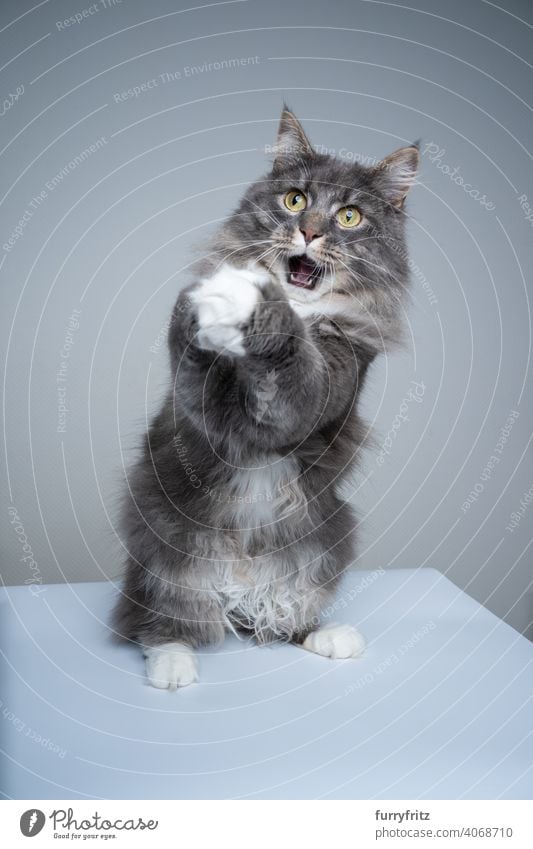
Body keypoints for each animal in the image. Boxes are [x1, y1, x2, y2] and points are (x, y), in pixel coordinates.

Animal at [113, 107, 420, 688]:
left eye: (349, 217)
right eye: (295, 200)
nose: (309, 231)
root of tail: (237, 587)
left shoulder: (330, 380)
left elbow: (293, 366)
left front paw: (258, 308)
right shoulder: (202, 404)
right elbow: (201, 361)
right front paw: (226, 297)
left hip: (323, 548)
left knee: (281, 622)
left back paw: (328, 635)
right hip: (165, 550)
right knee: (154, 621)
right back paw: (172, 664)